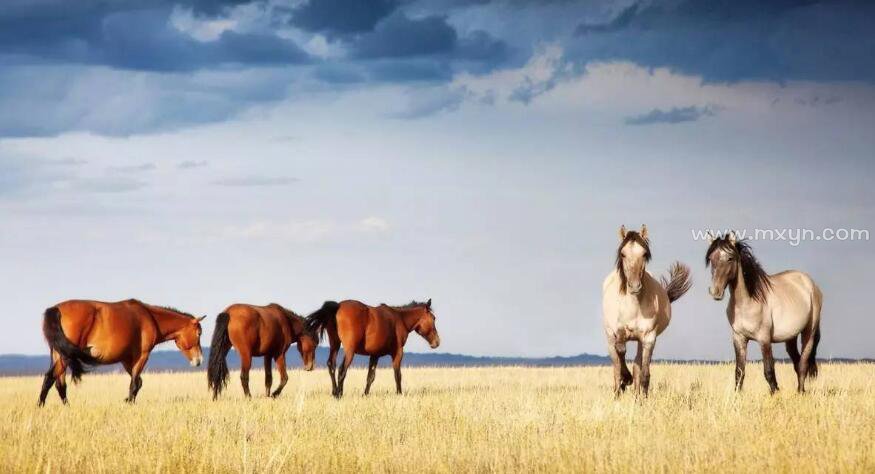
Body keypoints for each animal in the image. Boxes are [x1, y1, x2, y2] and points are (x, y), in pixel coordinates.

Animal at [38, 298, 205, 406]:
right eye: (199, 333)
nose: (199, 361)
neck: (150, 317)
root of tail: (56, 309)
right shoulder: (142, 356)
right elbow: (135, 383)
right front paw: (130, 403)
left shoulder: (126, 360)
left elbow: (138, 382)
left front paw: (128, 401)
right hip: (65, 356)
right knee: (50, 378)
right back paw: (40, 406)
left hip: (59, 354)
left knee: (59, 384)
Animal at [306, 300, 442, 396]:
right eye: (433, 318)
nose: (437, 342)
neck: (400, 319)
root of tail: (338, 306)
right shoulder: (398, 353)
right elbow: (397, 375)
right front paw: (399, 394)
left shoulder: (374, 355)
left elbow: (370, 377)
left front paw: (365, 394)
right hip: (349, 351)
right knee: (342, 370)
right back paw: (339, 394)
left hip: (335, 345)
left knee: (331, 366)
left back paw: (334, 392)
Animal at [604, 225, 692, 396]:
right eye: (623, 254)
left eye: (644, 254)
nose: (634, 286)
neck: (633, 305)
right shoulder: (619, 332)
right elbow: (621, 351)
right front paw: (626, 379)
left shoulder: (649, 338)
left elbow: (644, 373)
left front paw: (642, 397)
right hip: (610, 338)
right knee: (616, 367)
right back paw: (619, 389)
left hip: (640, 341)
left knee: (637, 366)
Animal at [708, 232, 824, 392]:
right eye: (711, 258)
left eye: (730, 258)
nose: (715, 292)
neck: (747, 302)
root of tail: (810, 283)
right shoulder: (739, 338)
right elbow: (739, 372)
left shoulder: (764, 339)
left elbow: (769, 371)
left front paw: (776, 394)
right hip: (791, 337)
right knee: (797, 362)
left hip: (809, 332)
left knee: (803, 365)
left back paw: (801, 392)